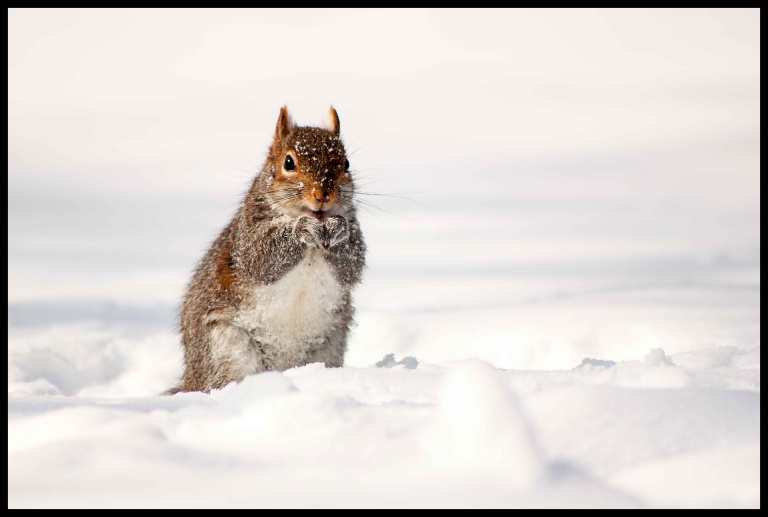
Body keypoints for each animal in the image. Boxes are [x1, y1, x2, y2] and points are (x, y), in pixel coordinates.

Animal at [168, 106, 366, 393]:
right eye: (289, 163)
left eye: (346, 164)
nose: (322, 196)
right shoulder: (248, 236)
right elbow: (262, 258)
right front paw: (301, 228)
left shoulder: (354, 232)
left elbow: (352, 264)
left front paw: (337, 229)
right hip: (227, 348)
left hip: (329, 346)